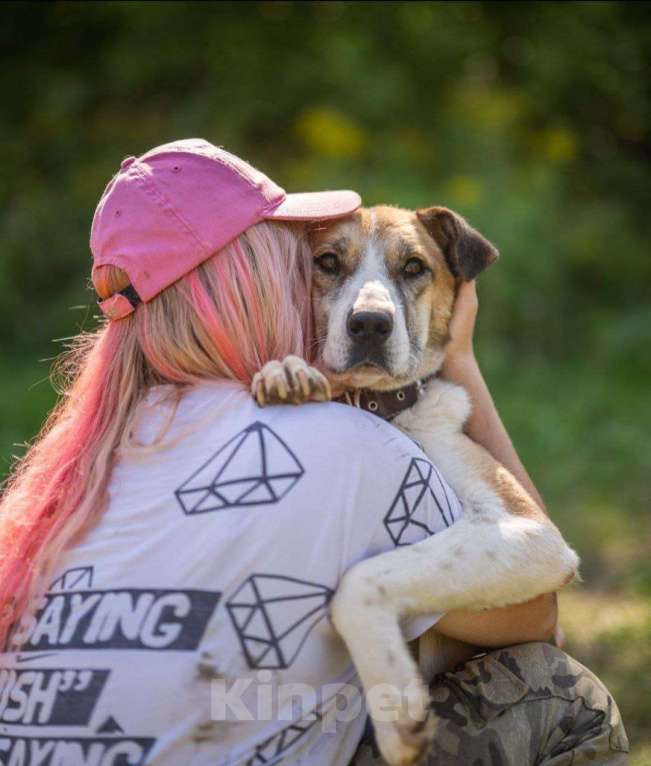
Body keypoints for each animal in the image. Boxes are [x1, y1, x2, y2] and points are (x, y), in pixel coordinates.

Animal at [251, 206, 580, 766]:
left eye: (413, 267)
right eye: (328, 261)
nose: (369, 324)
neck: (377, 406)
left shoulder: (533, 533)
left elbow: (360, 581)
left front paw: (395, 703)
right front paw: (286, 373)